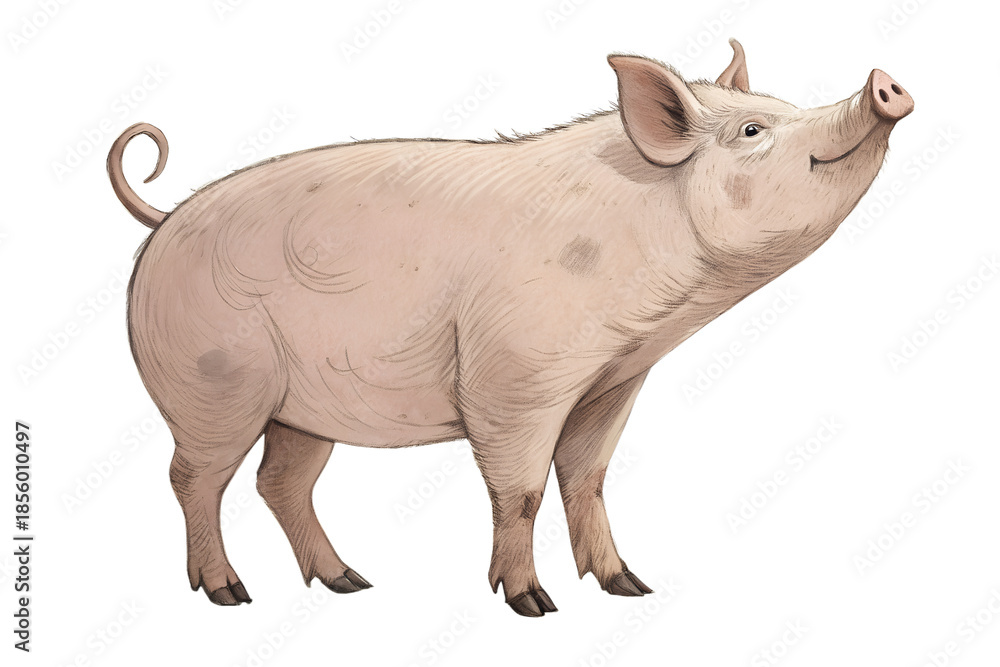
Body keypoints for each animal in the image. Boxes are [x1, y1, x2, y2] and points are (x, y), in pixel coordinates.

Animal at [108, 39, 912, 617]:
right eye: (752, 129)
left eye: (781, 105)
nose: (885, 83)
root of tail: (163, 218)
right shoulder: (514, 379)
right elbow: (519, 490)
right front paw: (534, 604)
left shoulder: (611, 381)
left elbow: (587, 478)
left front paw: (629, 587)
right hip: (213, 383)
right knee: (193, 478)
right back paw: (228, 593)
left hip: (299, 406)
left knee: (279, 482)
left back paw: (351, 583)